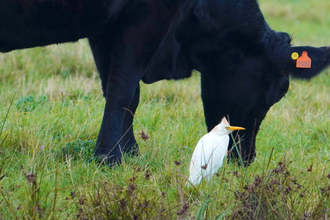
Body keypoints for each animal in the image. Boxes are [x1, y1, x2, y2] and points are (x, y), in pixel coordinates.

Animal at [0, 0, 330, 165]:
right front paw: (109, 157)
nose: (245, 160)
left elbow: (122, 91)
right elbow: (123, 89)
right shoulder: (151, 14)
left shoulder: (104, 28)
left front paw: (129, 152)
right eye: (278, 92)